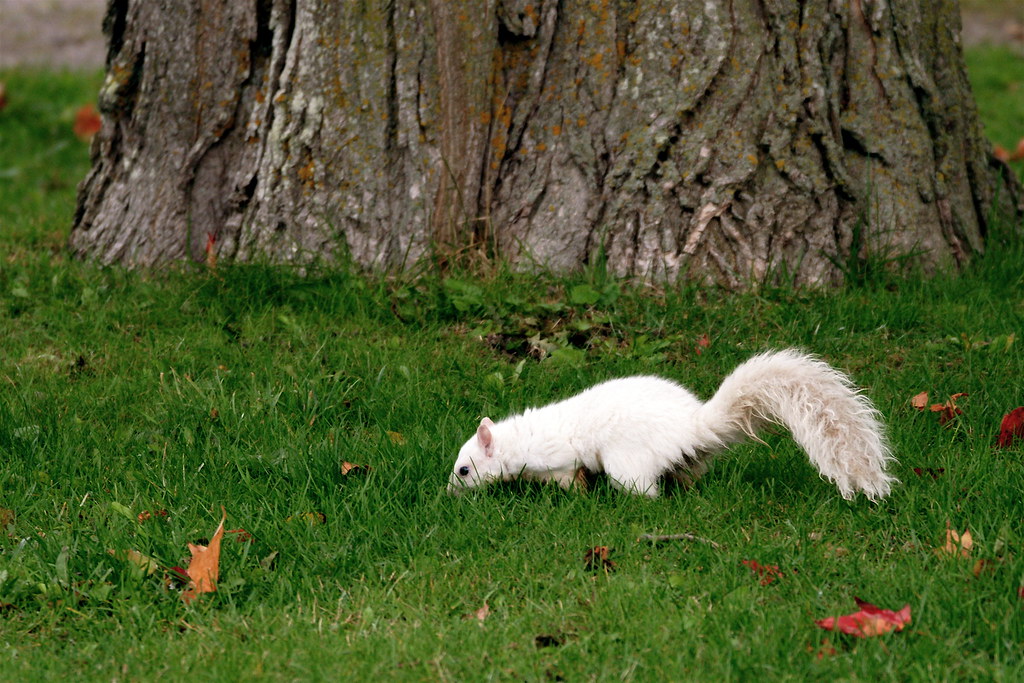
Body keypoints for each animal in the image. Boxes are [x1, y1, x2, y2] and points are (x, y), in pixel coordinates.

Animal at [448, 349, 895, 500]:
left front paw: (576, 496)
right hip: (687, 459)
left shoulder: (557, 461)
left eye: (464, 470)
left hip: (627, 464)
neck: (517, 441)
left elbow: (569, 480)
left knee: (645, 490)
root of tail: (693, 426)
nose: (450, 492)